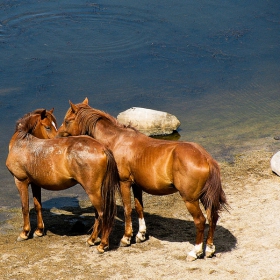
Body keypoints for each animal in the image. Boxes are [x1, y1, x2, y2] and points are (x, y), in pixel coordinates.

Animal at [5, 108, 119, 253]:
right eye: (48, 126)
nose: (56, 138)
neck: (23, 143)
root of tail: (102, 148)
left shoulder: (20, 181)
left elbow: (24, 207)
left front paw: (24, 233)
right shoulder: (35, 184)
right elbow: (38, 206)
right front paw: (39, 231)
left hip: (93, 191)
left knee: (102, 214)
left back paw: (102, 244)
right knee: (98, 215)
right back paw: (91, 240)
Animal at [57, 98, 228, 260]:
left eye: (68, 120)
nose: (58, 135)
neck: (117, 140)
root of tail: (206, 158)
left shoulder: (124, 183)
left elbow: (127, 209)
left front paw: (126, 237)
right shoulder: (136, 185)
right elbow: (139, 208)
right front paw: (140, 234)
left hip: (190, 199)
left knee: (200, 221)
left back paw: (195, 251)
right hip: (205, 197)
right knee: (213, 217)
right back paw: (209, 249)